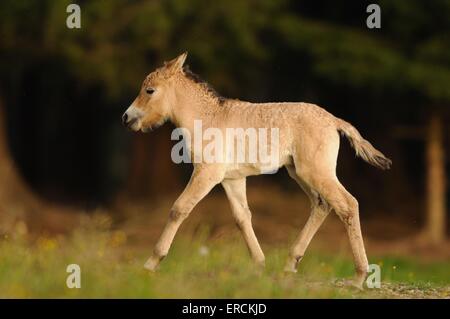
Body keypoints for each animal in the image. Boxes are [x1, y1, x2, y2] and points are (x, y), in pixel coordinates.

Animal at [122, 53, 390, 290]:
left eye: (150, 90)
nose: (126, 117)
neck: (209, 118)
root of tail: (334, 121)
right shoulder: (232, 179)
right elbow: (242, 217)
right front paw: (259, 264)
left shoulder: (207, 173)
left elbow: (179, 209)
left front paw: (151, 263)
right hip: (298, 173)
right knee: (322, 205)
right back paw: (290, 264)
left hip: (316, 172)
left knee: (348, 204)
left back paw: (359, 277)